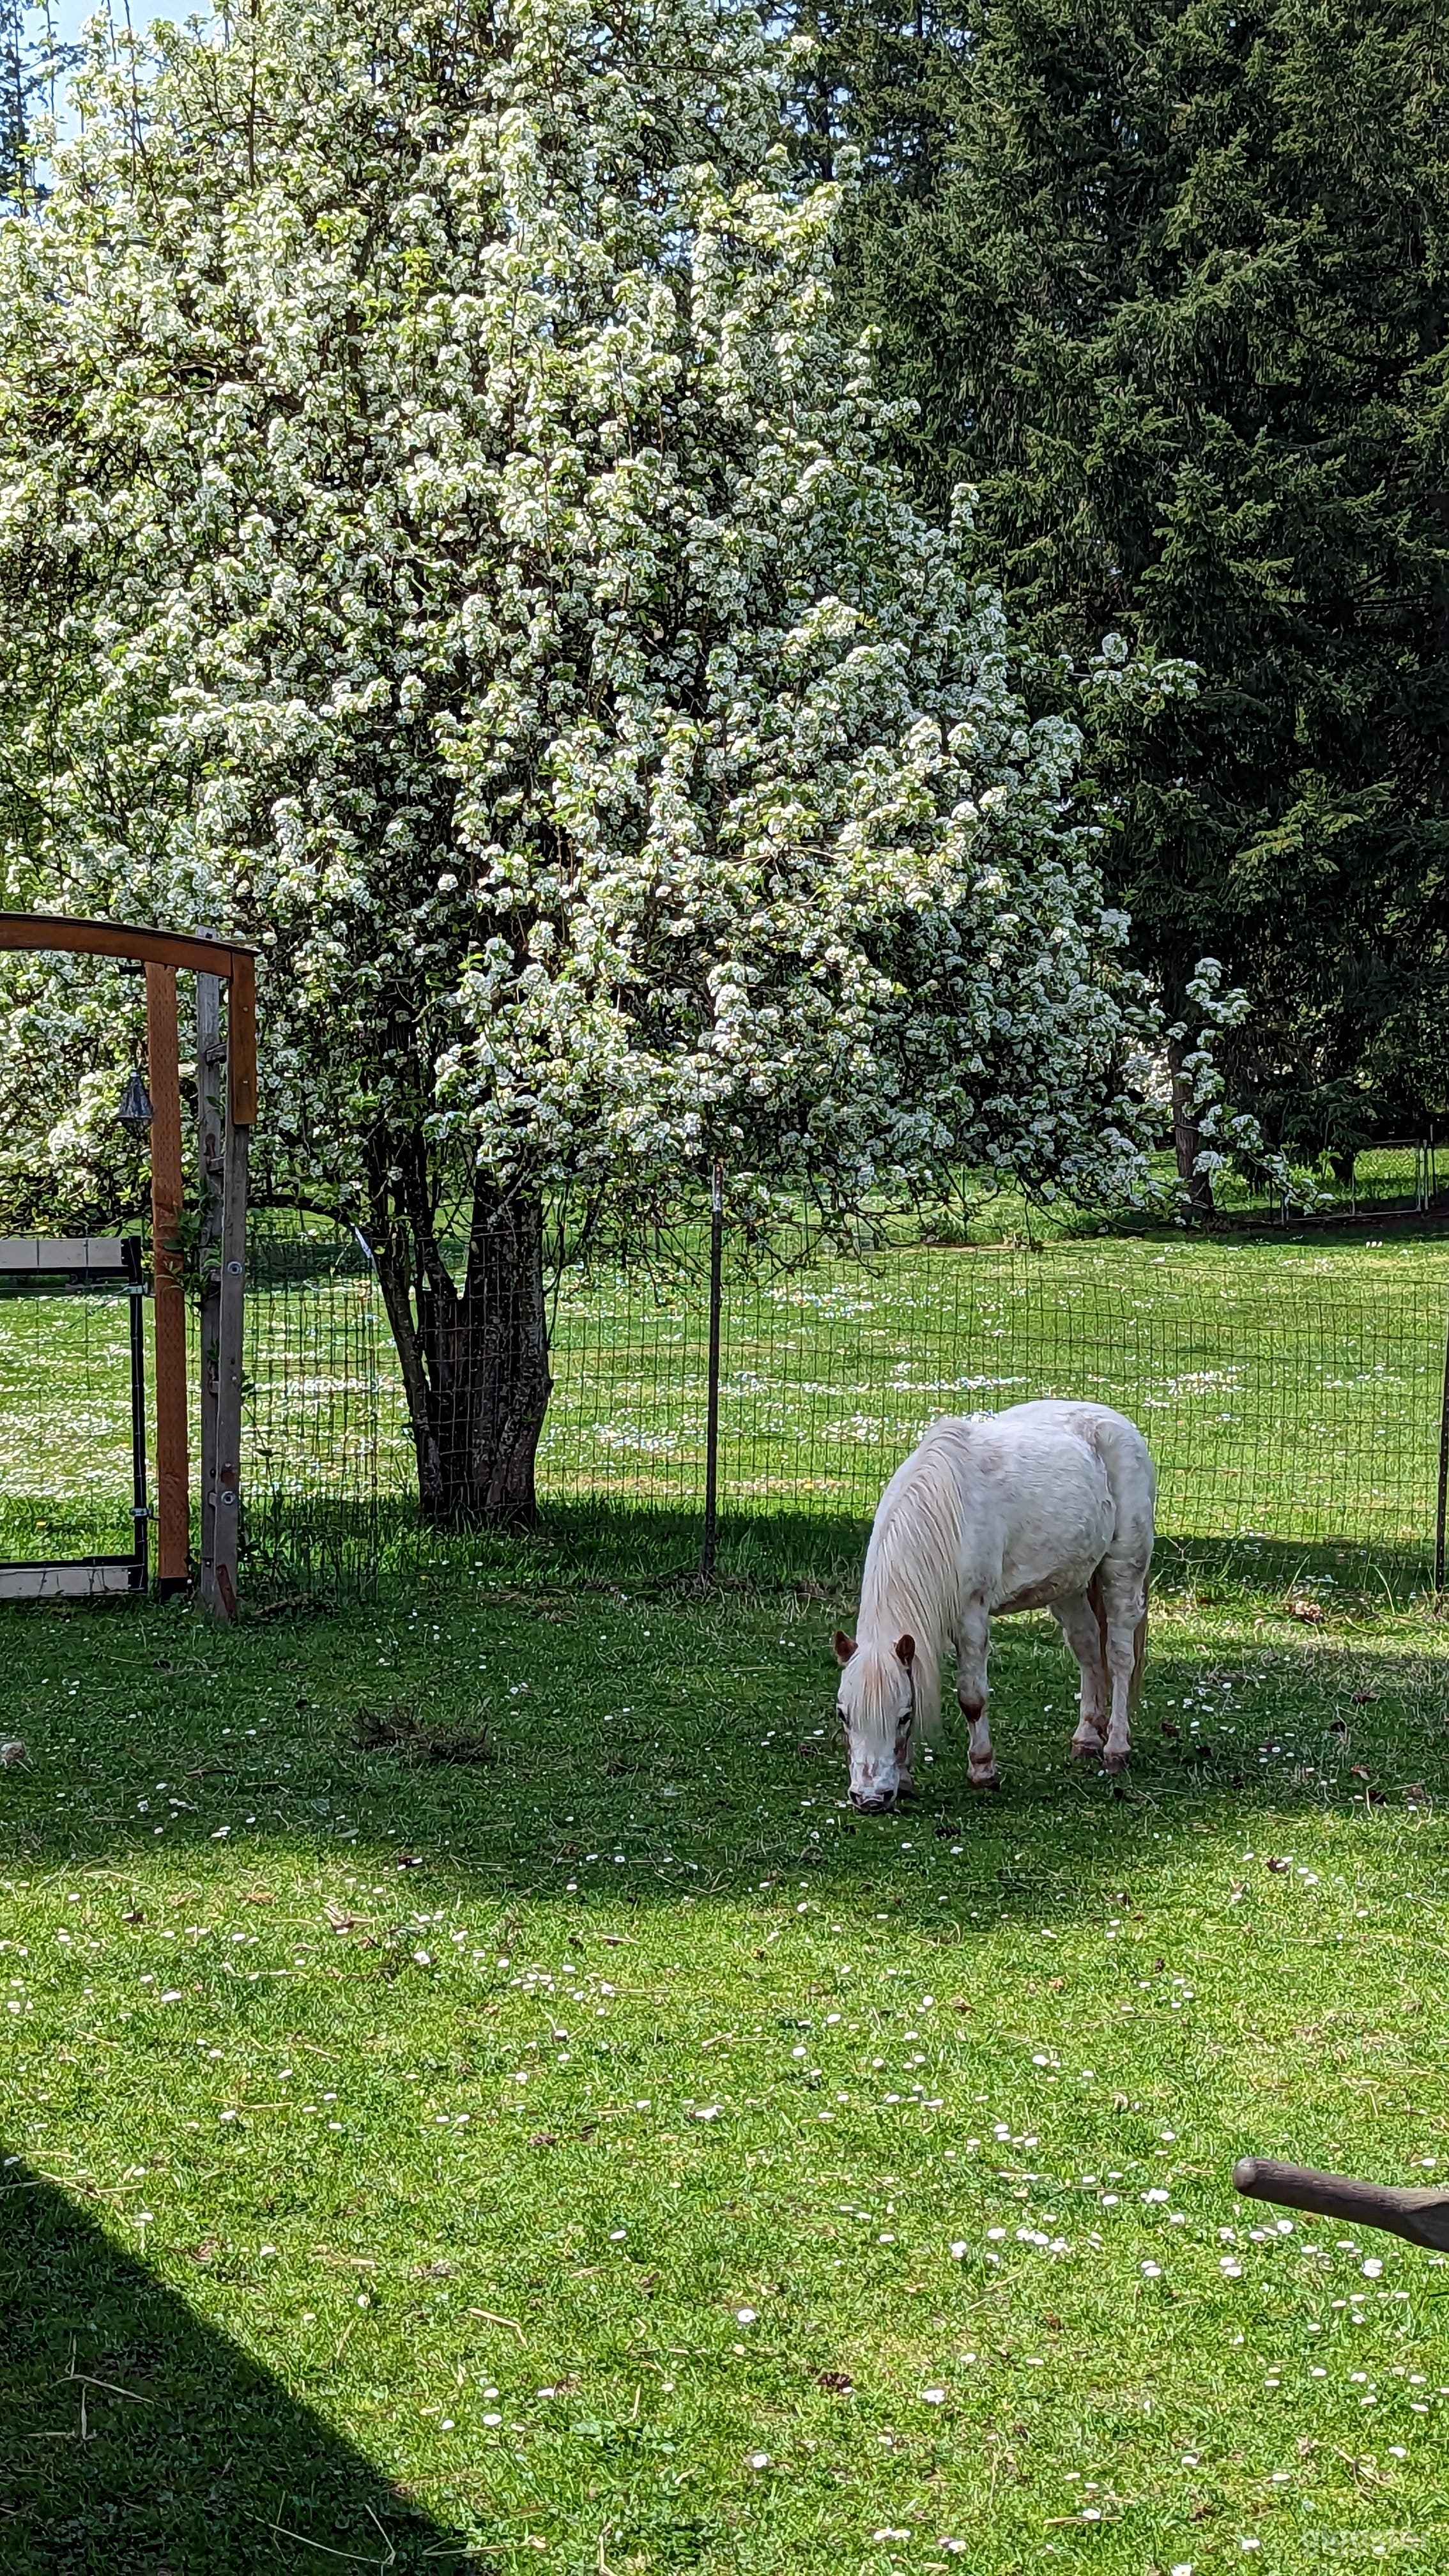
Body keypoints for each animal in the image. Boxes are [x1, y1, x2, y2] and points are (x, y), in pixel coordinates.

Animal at [832, 1400, 1155, 1811]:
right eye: (844, 1714)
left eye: (903, 1717)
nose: (870, 1799)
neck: (945, 1509)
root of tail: (1118, 1422)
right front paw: (904, 1779)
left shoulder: (971, 1618)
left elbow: (972, 1699)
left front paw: (983, 1771)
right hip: (1069, 1584)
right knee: (1087, 1649)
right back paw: (1086, 1739)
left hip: (1122, 1571)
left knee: (1118, 1656)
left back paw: (1116, 1748)